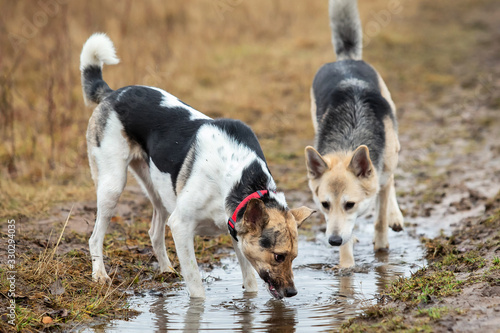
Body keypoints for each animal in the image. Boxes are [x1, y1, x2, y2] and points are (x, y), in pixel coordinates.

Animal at [80, 33, 312, 298]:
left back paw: (166, 269)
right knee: (95, 237)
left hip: (159, 191)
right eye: (278, 256)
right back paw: (100, 275)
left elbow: (250, 284)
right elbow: (196, 286)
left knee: (154, 232)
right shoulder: (181, 226)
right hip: (113, 186)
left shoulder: (236, 233)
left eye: (295, 257)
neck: (239, 179)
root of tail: (112, 93)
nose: (292, 292)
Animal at [304, 0, 406, 266]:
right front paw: (346, 267)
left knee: (390, 182)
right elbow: (347, 239)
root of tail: (345, 59)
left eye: (349, 204)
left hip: (392, 152)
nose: (333, 241)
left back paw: (395, 216)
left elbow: (379, 219)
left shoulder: (380, 179)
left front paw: (381, 249)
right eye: (325, 205)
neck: (350, 139)